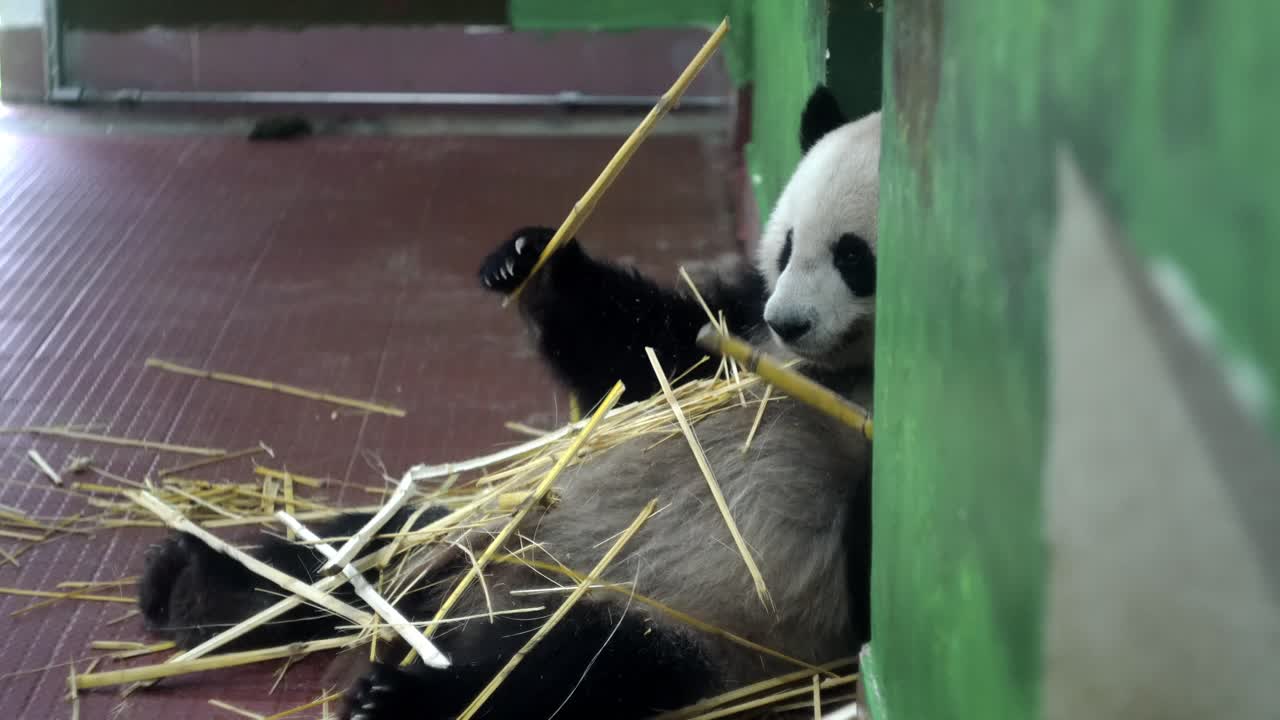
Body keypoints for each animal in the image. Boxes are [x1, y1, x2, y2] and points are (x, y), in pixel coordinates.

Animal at [136, 85, 879, 720]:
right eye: (787, 247)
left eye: (853, 257)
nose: (790, 322)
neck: (836, 372)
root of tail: (482, 600)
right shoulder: (737, 331)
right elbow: (646, 355)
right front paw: (529, 261)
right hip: (486, 520)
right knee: (364, 545)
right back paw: (196, 586)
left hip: (685, 620)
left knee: (568, 670)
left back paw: (398, 695)